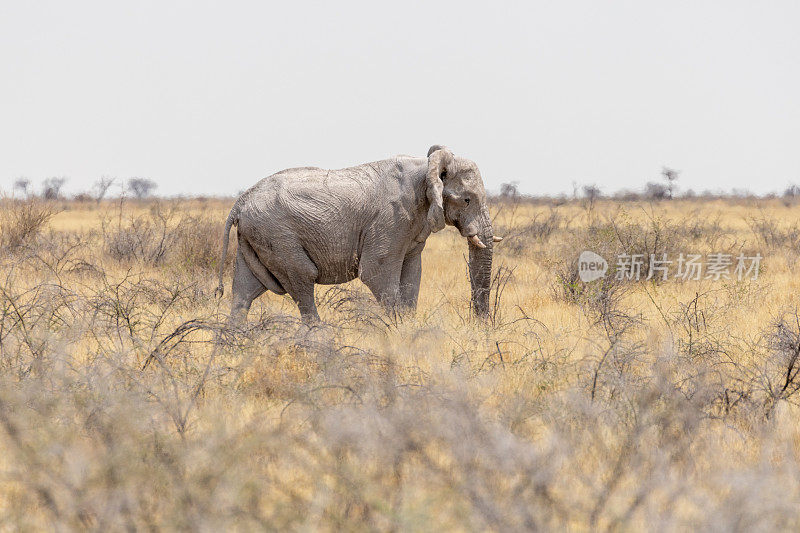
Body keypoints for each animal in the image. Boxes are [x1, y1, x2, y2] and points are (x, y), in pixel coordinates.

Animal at [212, 143, 500, 322]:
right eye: (467, 200)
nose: (480, 326)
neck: (426, 167)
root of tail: (240, 201)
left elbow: (412, 275)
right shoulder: (390, 220)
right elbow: (376, 272)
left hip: (256, 236)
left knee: (244, 293)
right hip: (277, 236)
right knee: (302, 281)